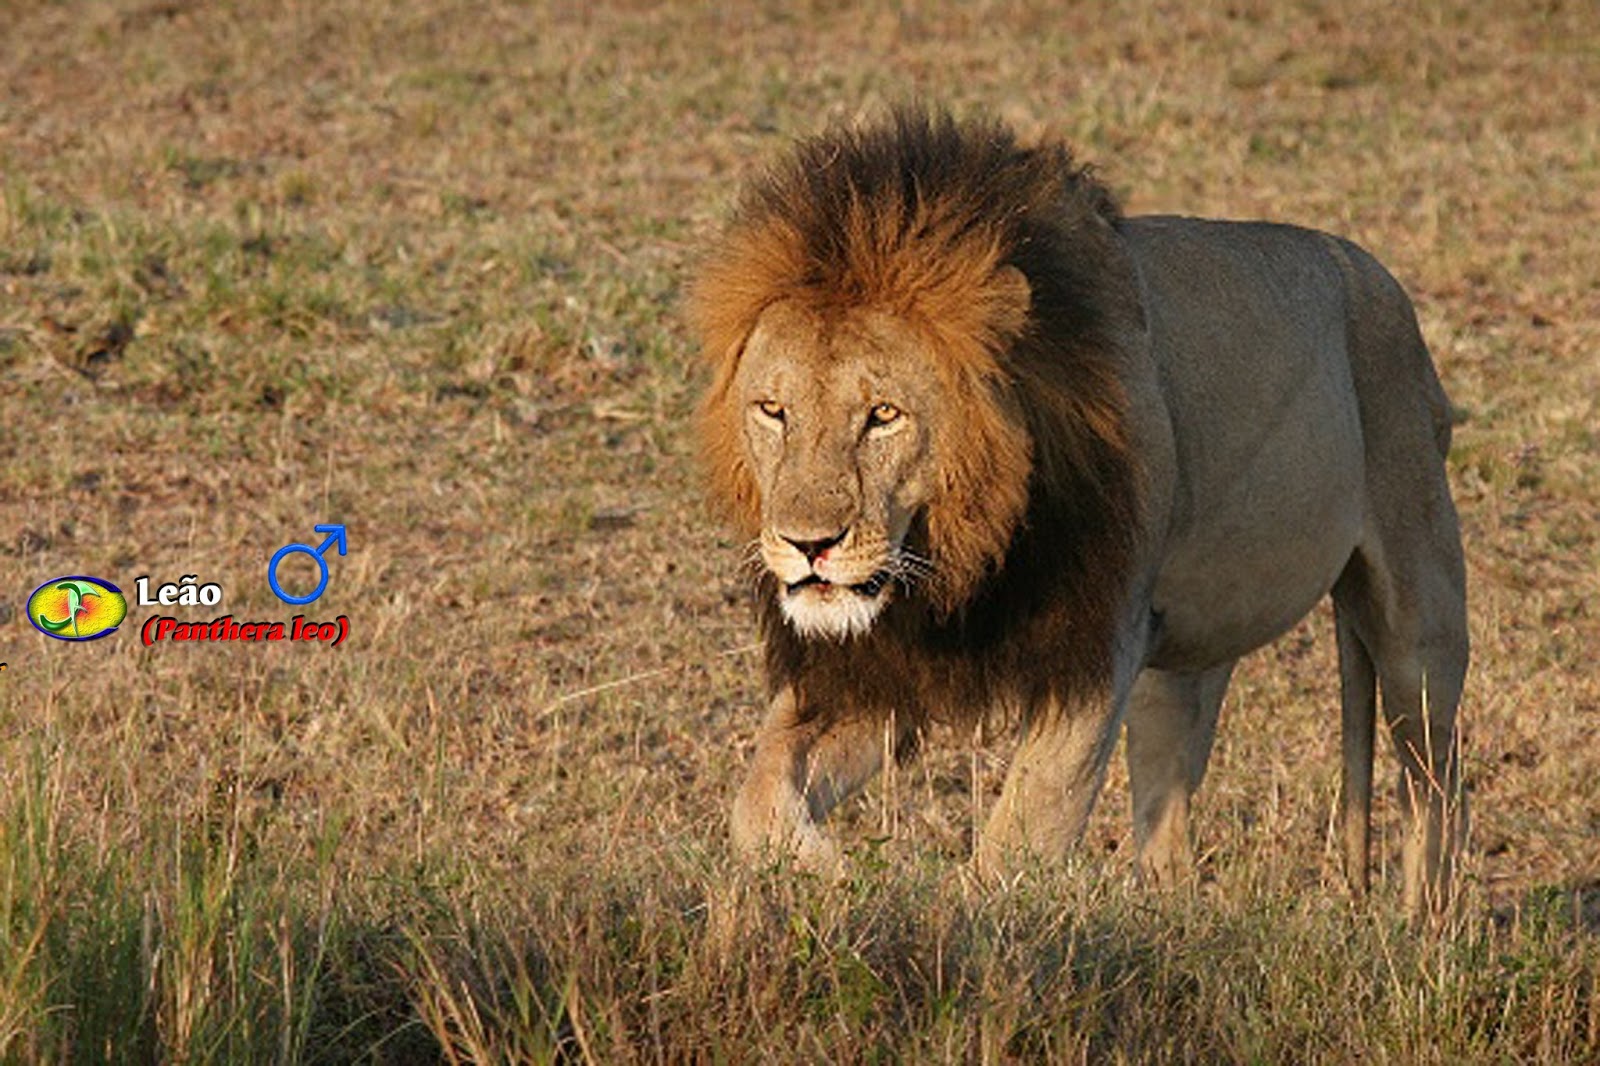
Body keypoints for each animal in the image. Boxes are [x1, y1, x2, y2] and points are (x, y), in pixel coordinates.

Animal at [691, 107, 1468, 913]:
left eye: (883, 415)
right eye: (773, 411)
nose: (808, 544)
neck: (966, 551)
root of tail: (1373, 271)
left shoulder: (1101, 639)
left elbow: (1025, 824)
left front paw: (963, 918)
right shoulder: (880, 665)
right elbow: (756, 799)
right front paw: (833, 882)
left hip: (1418, 604)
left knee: (1436, 785)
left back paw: (1424, 925)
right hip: (1180, 668)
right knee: (1168, 823)